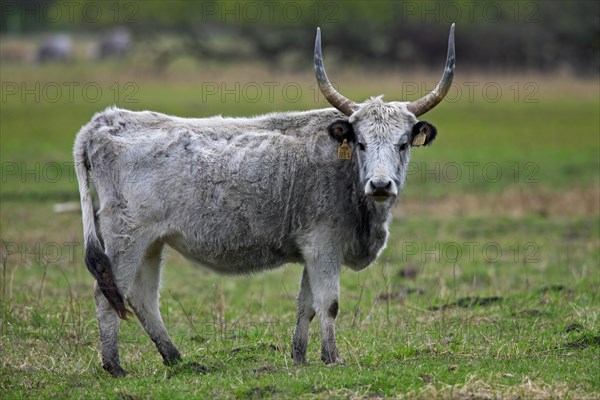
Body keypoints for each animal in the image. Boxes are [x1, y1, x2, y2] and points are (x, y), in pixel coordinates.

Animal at [74, 24, 454, 376]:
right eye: (360, 142)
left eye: (402, 144)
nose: (380, 184)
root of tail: (104, 122)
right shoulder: (323, 246)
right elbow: (328, 303)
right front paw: (332, 358)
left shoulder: (310, 250)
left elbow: (306, 305)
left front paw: (299, 357)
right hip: (126, 239)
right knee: (107, 295)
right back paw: (115, 366)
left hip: (151, 243)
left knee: (143, 298)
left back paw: (177, 359)